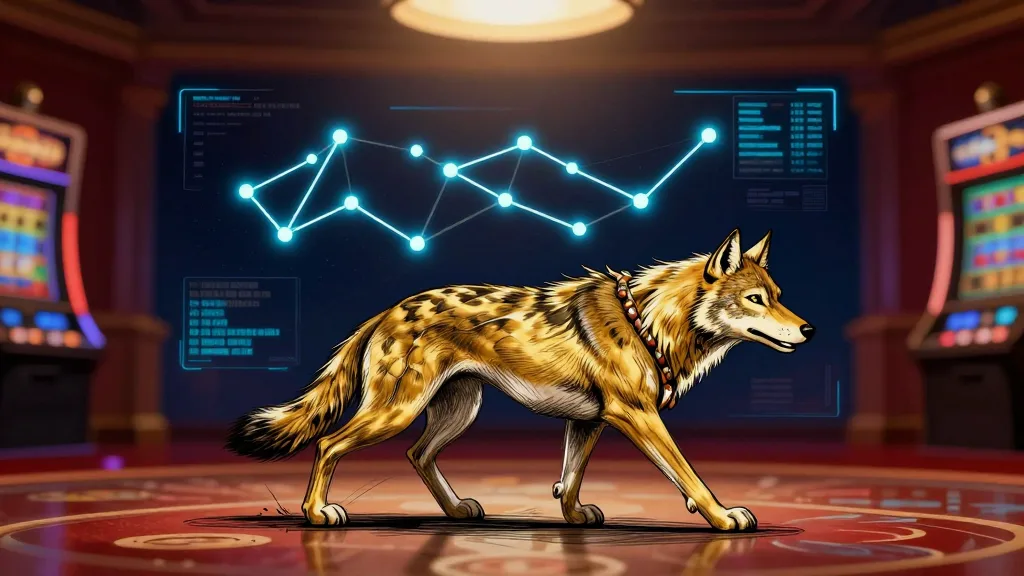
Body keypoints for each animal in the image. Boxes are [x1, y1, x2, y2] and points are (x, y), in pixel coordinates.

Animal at [227, 228, 814, 531]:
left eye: (778, 295)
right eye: (755, 299)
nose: (808, 329)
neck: (649, 321)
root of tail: (384, 312)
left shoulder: (591, 422)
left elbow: (569, 478)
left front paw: (574, 516)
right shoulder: (636, 416)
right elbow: (691, 477)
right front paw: (723, 515)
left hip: (456, 411)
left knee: (417, 454)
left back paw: (456, 511)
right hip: (396, 411)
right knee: (328, 443)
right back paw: (316, 513)